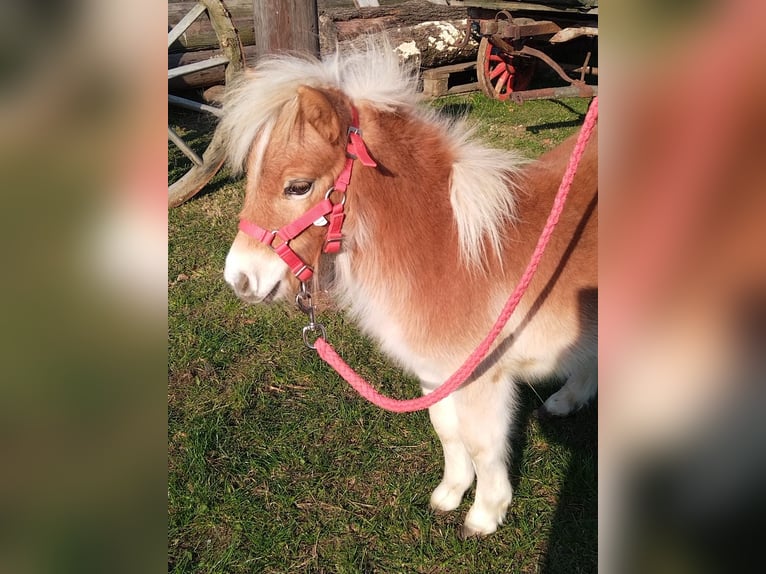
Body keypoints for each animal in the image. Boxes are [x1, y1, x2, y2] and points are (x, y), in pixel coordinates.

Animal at [219, 45, 596, 540]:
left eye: (297, 186)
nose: (240, 279)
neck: (446, 247)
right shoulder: (436, 375)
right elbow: (447, 432)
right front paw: (449, 495)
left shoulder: (481, 378)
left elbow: (481, 443)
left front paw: (485, 514)